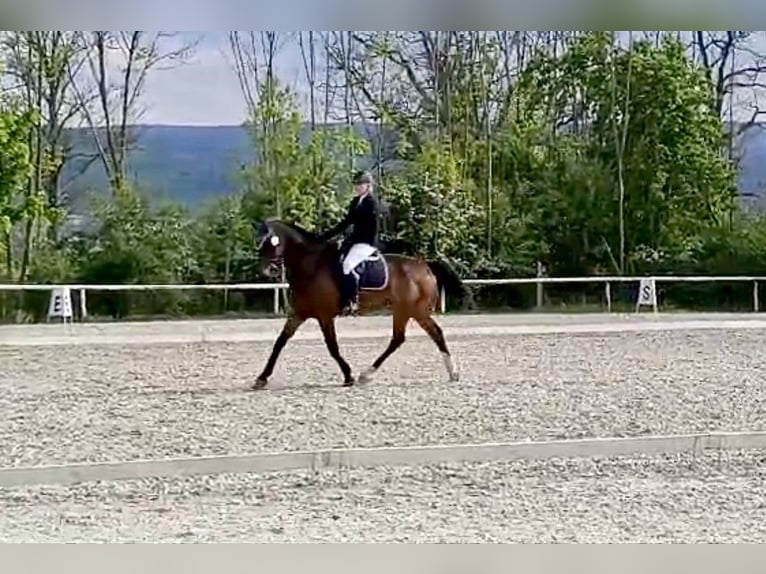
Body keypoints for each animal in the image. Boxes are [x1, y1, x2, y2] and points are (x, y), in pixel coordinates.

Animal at [252, 220, 468, 392]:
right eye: (259, 243)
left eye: (271, 242)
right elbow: (280, 342)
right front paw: (261, 378)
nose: (267, 270)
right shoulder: (299, 313)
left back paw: (452, 372)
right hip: (405, 311)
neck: (309, 265)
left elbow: (332, 346)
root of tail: (425, 266)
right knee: (401, 338)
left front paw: (348, 376)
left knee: (432, 334)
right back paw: (369, 374)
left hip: (414, 310)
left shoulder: (324, 315)